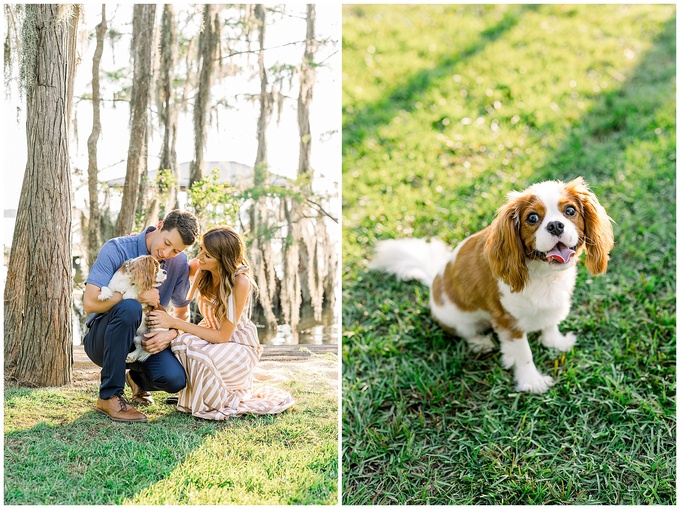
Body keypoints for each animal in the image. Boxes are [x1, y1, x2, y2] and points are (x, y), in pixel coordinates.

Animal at [370, 178, 612, 392]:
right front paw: (532, 382)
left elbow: (550, 323)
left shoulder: (553, 303)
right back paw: (481, 342)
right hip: (457, 318)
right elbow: (524, 353)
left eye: (570, 211)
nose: (554, 225)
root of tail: (433, 281)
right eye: (532, 218)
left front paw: (556, 343)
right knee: (465, 332)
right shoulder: (507, 321)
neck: (544, 274)